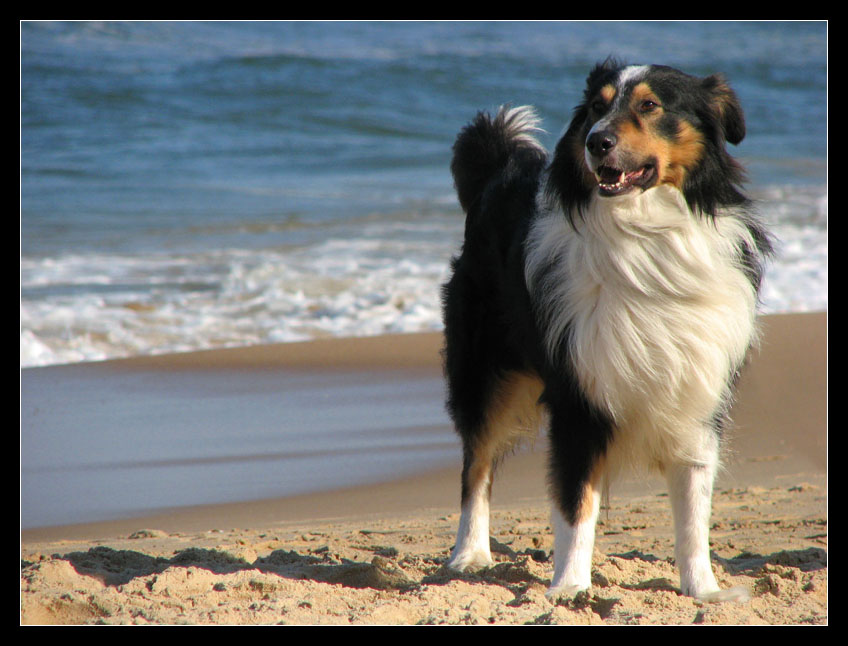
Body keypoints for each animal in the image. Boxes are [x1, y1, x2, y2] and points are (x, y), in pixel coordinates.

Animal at [440, 58, 772, 604]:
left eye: (650, 105)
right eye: (596, 107)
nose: (596, 141)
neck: (646, 236)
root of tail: (498, 170)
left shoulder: (698, 393)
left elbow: (694, 508)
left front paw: (703, 590)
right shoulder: (580, 395)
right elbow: (576, 504)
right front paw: (569, 588)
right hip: (485, 371)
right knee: (476, 465)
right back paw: (470, 554)